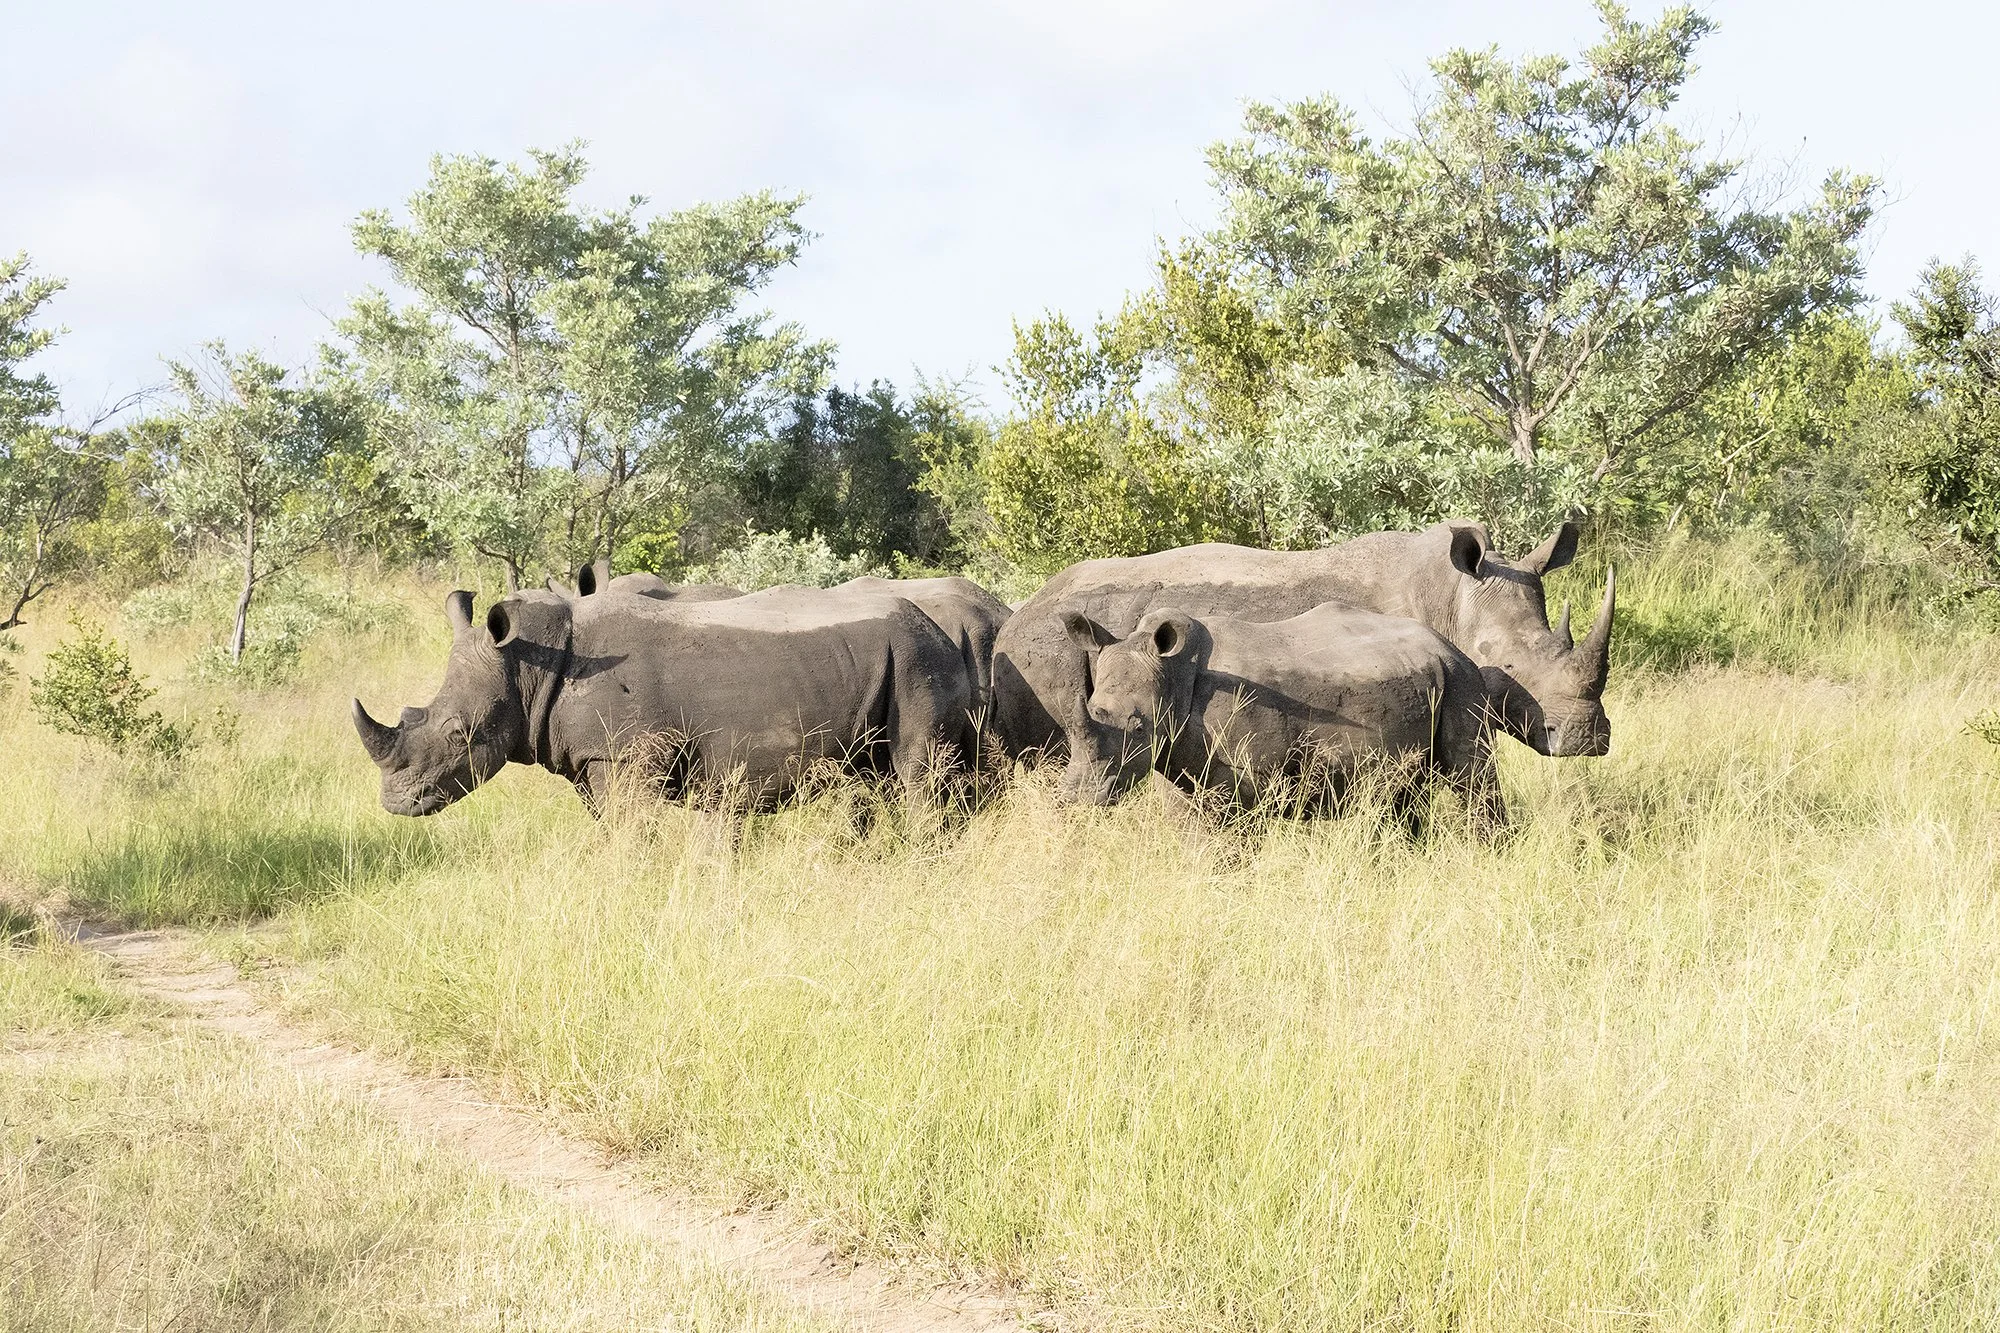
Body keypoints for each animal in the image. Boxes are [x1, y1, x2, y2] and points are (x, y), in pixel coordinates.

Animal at [352, 584, 976, 815]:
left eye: (459, 734)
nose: (394, 803)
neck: (529, 664)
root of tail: (943, 631)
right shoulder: (594, 759)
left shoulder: (625, 753)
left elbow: (629, 832)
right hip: (896, 660)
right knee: (879, 778)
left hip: (920, 661)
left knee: (917, 776)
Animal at [1064, 604, 1504, 829]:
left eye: (1139, 727)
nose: (1078, 798)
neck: (1173, 674)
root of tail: (1447, 644)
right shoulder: (1177, 759)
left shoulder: (1247, 773)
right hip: (1427, 675)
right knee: (1403, 793)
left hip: (1462, 679)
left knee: (1471, 775)